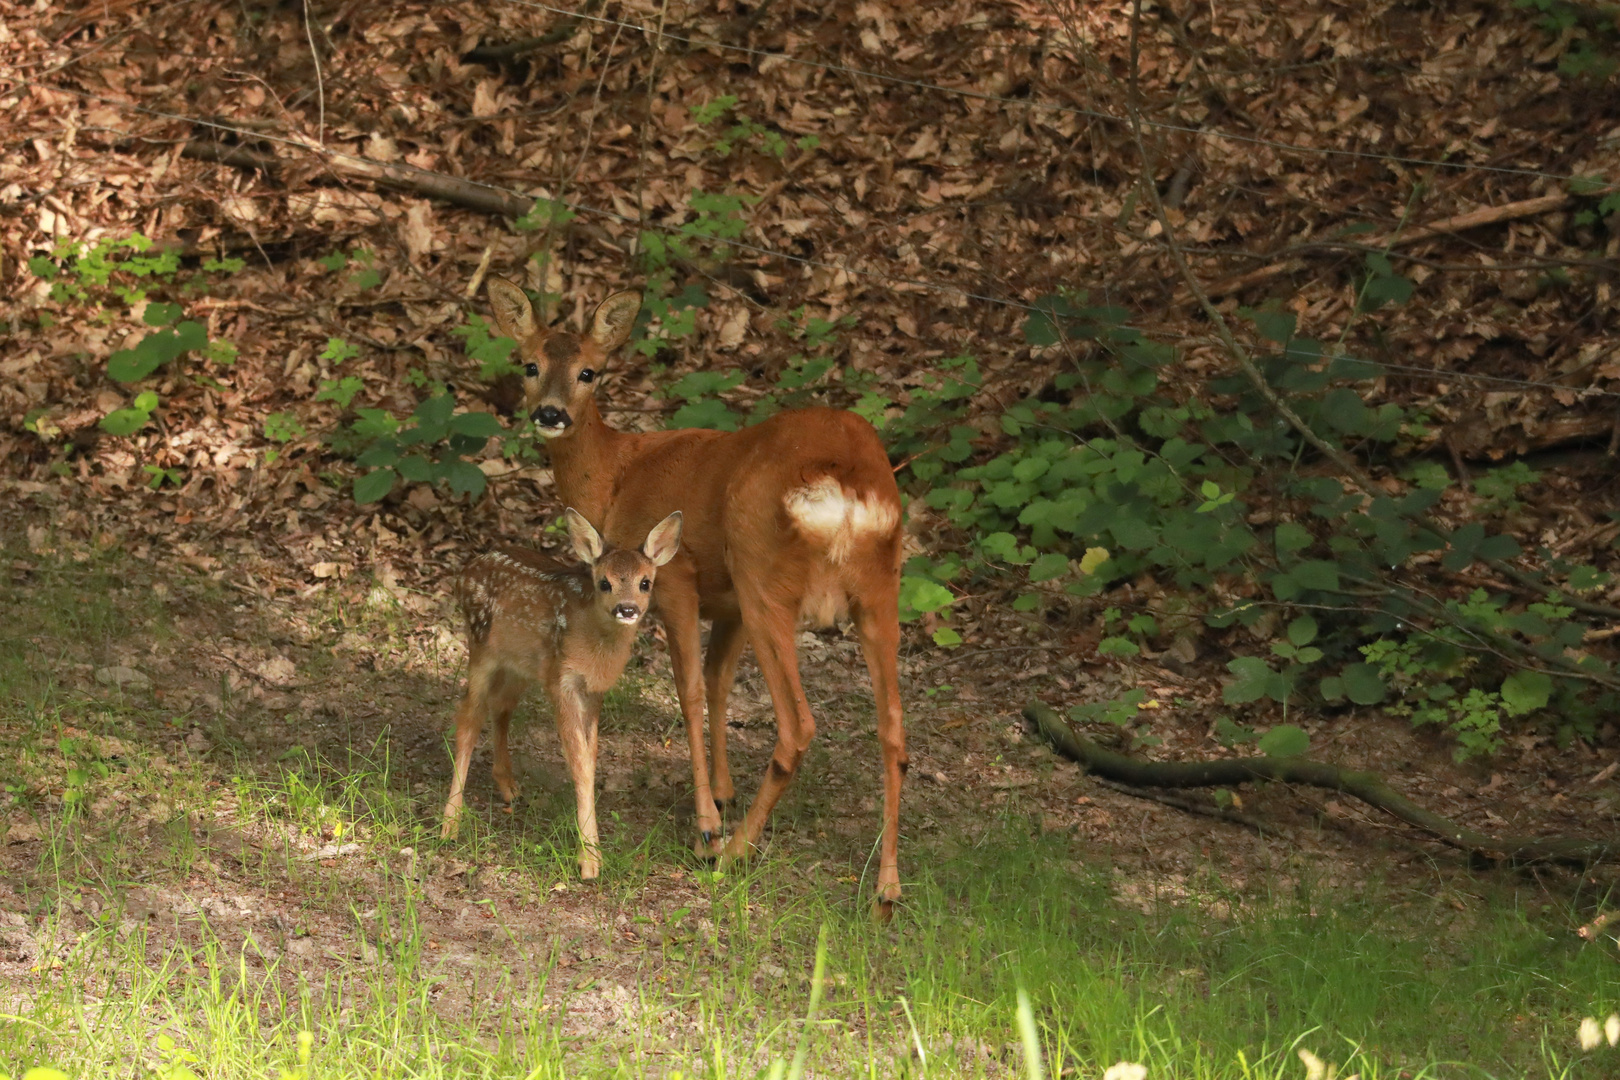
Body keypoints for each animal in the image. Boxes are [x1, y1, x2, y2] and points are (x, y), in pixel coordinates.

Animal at [440, 508, 680, 880]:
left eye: (645, 582)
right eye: (604, 582)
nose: (627, 608)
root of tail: (466, 570)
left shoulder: (594, 690)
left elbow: (590, 759)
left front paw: (592, 852)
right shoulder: (562, 681)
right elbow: (578, 762)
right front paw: (589, 861)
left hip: (520, 667)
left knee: (500, 706)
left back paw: (508, 787)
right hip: (481, 647)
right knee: (468, 719)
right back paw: (450, 824)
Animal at [479, 276, 913, 913]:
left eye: (589, 371)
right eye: (530, 363)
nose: (550, 413)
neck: (615, 478)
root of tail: (849, 489)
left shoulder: (676, 578)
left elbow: (687, 691)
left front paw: (707, 820)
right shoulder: (726, 606)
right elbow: (717, 684)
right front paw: (724, 794)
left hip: (765, 576)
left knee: (798, 725)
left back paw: (731, 852)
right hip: (880, 589)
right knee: (894, 732)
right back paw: (886, 886)